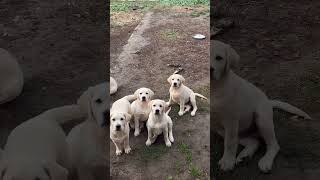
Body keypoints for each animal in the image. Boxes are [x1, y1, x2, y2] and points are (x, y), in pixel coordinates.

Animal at [211, 40, 312, 172]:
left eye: (219, 58)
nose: (210, 69)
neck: (214, 88)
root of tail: (268, 102)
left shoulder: (230, 120)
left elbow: (229, 143)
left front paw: (227, 161)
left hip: (262, 119)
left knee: (273, 145)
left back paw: (266, 161)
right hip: (223, 129)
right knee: (254, 141)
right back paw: (245, 155)